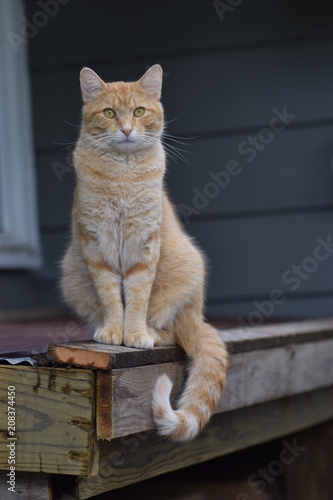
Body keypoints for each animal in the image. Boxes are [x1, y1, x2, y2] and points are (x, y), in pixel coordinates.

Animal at [61, 64, 227, 440]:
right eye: (109, 113)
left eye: (138, 111)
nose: (126, 130)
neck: (122, 173)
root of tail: (197, 316)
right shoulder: (96, 246)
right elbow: (111, 297)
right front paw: (114, 331)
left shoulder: (145, 248)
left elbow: (136, 297)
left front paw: (134, 333)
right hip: (72, 275)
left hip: (184, 275)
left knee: (171, 333)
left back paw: (150, 333)